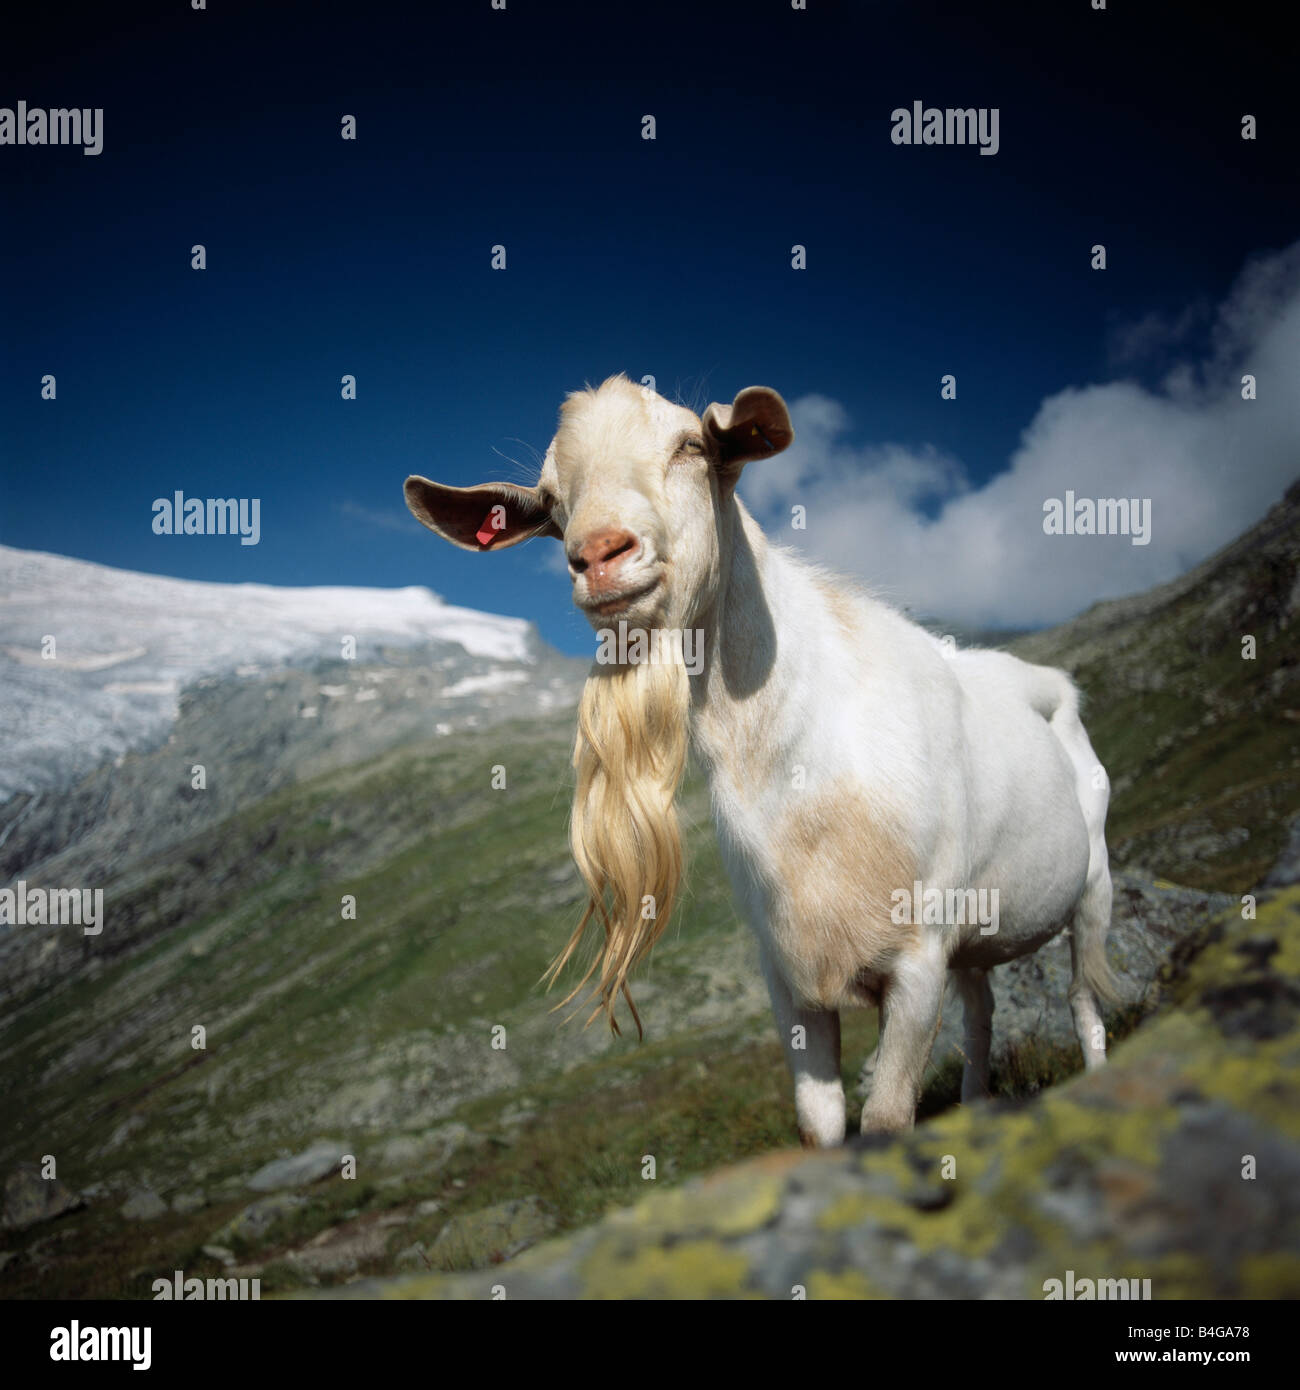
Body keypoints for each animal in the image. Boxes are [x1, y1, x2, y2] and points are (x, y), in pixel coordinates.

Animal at [404, 374, 1117, 1141]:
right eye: (551, 501)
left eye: (691, 446)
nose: (598, 554)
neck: (806, 776)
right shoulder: (787, 975)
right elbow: (820, 1123)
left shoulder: (918, 957)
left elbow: (887, 1117)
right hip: (977, 935)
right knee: (982, 1012)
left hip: (1092, 887)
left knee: (1082, 999)